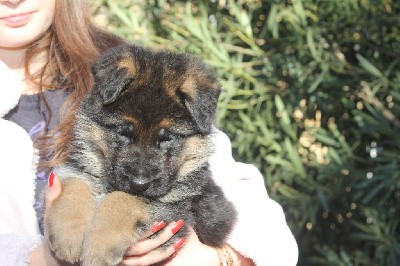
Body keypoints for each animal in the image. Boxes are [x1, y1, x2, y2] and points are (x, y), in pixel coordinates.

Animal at [45, 44, 236, 266]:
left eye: (168, 138)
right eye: (123, 132)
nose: (139, 184)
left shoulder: (174, 210)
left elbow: (123, 199)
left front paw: (99, 248)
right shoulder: (79, 168)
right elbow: (74, 188)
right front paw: (68, 237)